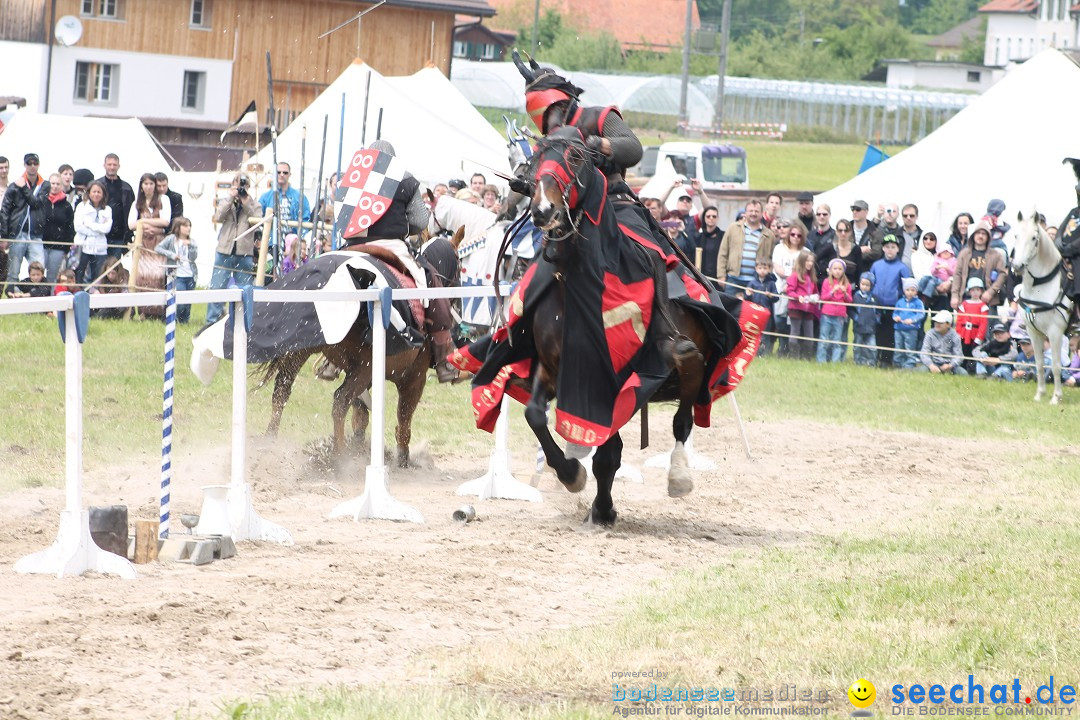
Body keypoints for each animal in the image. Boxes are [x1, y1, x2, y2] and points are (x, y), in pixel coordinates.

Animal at [1010, 211, 1071, 408]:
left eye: (1034, 238)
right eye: (1016, 236)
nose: (1017, 266)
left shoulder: (1055, 333)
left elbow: (1056, 365)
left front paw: (1056, 397)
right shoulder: (1033, 332)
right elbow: (1038, 362)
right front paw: (1040, 394)